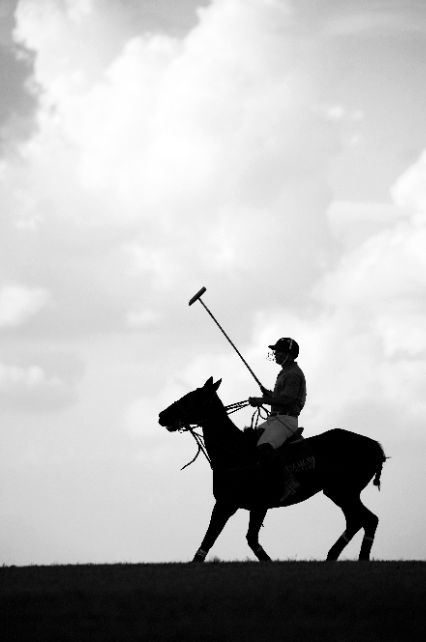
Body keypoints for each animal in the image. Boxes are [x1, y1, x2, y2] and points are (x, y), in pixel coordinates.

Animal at [159, 376, 386, 560]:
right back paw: (332, 556)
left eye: (192, 397)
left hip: (343, 491)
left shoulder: (234, 504)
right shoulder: (244, 505)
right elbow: (242, 539)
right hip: (339, 492)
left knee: (368, 519)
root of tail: (376, 446)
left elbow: (215, 538)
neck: (234, 452)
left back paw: (358, 558)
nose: (162, 415)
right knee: (356, 521)